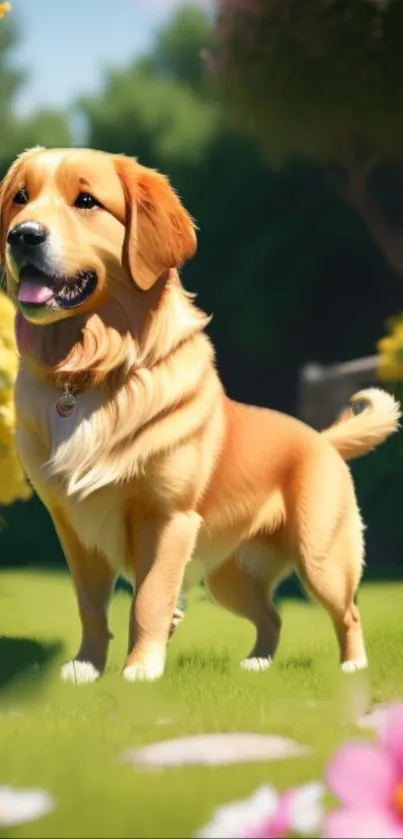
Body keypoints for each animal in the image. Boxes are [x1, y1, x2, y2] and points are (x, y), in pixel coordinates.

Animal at [0, 148, 400, 684]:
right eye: (20, 198)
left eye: (86, 201)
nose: (21, 236)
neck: (89, 372)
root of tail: (322, 439)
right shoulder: (73, 526)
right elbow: (89, 605)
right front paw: (87, 666)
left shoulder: (168, 517)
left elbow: (149, 599)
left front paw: (140, 670)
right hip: (228, 575)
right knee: (271, 615)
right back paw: (256, 663)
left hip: (321, 555)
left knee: (348, 611)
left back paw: (353, 667)